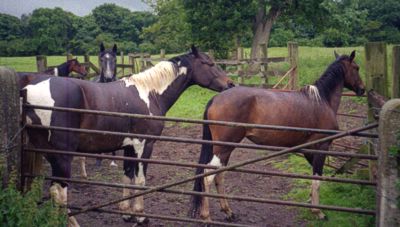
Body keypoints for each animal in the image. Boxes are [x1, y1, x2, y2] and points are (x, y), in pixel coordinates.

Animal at [23, 45, 234, 225]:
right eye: (209, 63)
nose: (230, 84)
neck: (150, 93)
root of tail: (27, 90)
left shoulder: (129, 147)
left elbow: (127, 176)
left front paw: (126, 213)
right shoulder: (144, 145)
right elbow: (140, 180)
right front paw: (141, 216)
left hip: (50, 154)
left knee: (54, 190)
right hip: (63, 156)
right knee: (60, 192)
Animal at [191, 50, 366, 223]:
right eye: (356, 68)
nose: (362, 89)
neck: (322, 100)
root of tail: (215, 98)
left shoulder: (309, 151)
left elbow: (315, 179)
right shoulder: (321, 148)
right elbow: (317, 178)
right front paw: (318, 212)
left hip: (225, 149)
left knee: (219, 175)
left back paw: (228, 212)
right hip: (224, 147)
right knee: (207, 176)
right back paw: (206, 217)